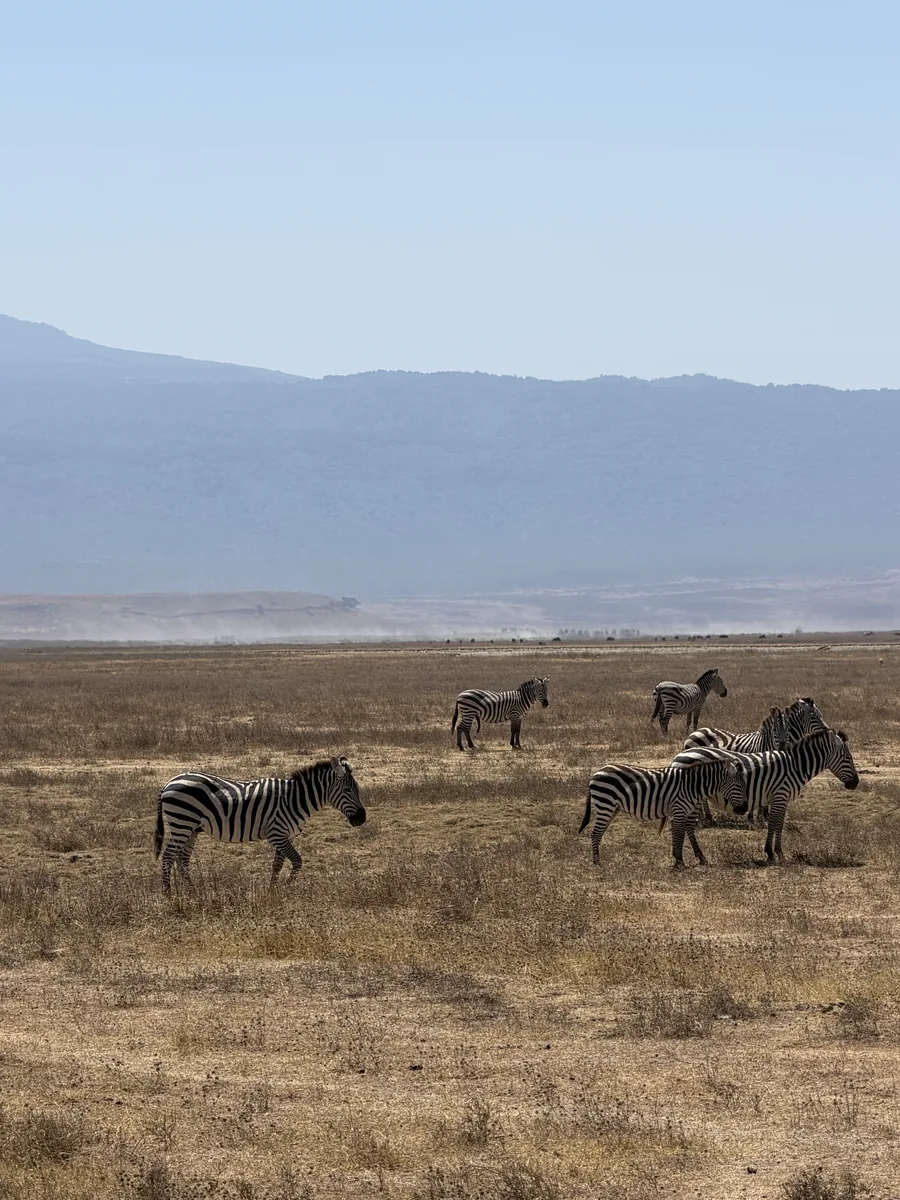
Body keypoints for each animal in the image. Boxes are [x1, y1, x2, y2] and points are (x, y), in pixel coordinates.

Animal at [155, 756, 365, 893]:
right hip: (182, 822)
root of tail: (168, 783)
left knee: (182, 860)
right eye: (348, 790)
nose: (362, 819)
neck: (294, 799)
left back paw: (193, 892)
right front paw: (287, 888)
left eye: (357, 789)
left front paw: (272, 892)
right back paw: (168, 894)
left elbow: (277, 865)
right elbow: (297, 861)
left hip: (191, 828)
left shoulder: (283, 835)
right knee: (168, 856)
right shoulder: (277, 834)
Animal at [579, 748, 746, 868]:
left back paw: (597, 860)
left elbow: (680, 834)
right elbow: (679, 835)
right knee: (595, 833)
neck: (692, 786)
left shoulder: (682, 811)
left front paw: (679, 859)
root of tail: (596, 773)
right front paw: (679, 862)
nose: (743, 809)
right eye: (739, 785)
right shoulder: (679, 809)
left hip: (612, 808)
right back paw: (597, 863)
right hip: (605, 804)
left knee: (599, 833)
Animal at [713, 728, 859, 862]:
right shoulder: (779, 796)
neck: (795, 767)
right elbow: (773, 823)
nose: (856, 783)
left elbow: (780, 824)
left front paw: (779, 853)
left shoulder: (784, 799)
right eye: (847, 758)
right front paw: (770, 853)